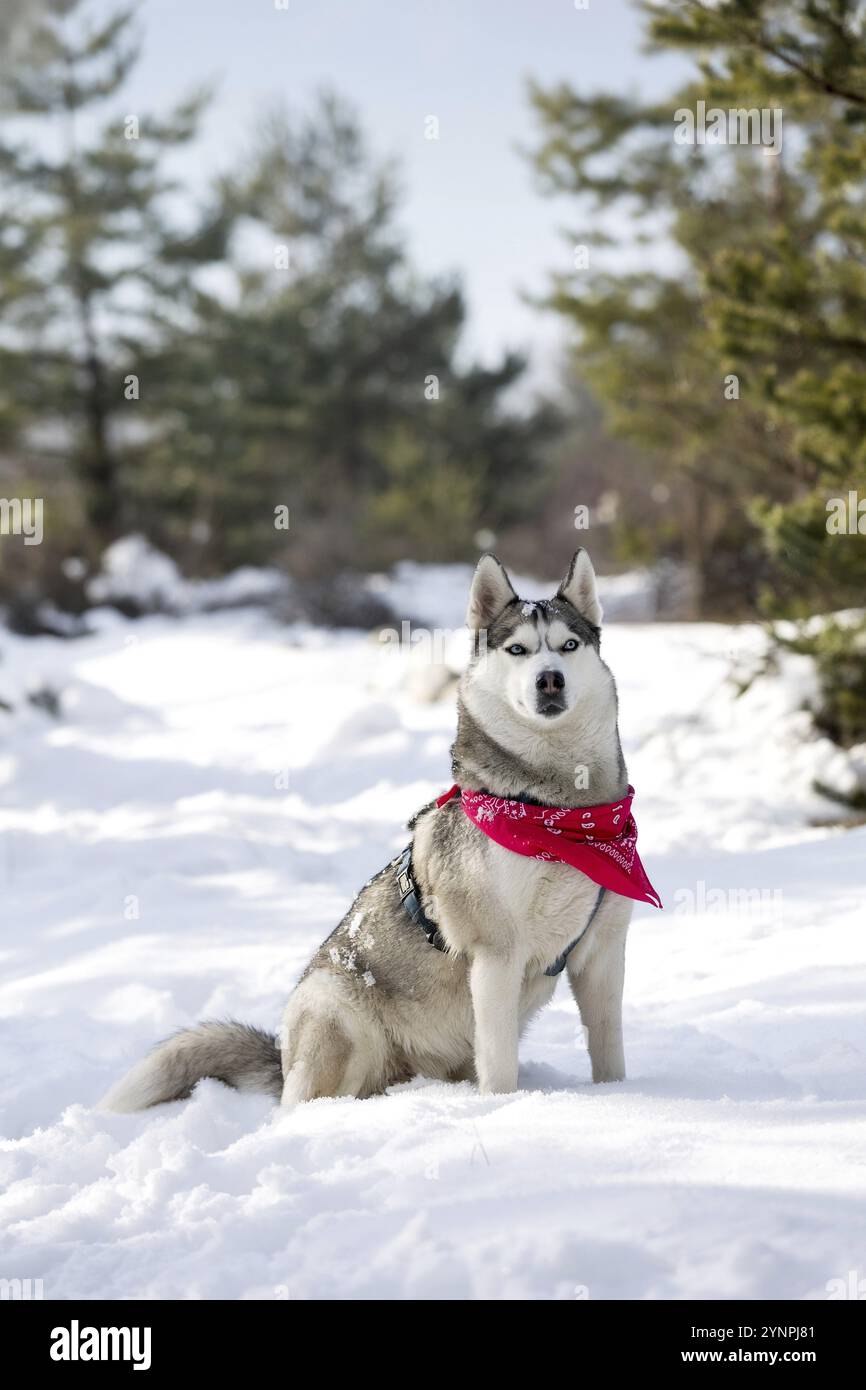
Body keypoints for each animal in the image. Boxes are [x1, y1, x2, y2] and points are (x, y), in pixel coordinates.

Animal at [104, 547, 636, 1112]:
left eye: (568, 645)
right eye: (518, 650)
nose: (549, 679)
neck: (560, 812)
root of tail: (284, 1060)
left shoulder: (602, 955)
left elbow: (609, 1053)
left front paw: (628, 1097)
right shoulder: (496, 955)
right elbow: (499, 1068)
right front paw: (501, 1107)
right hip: (336, 1009)